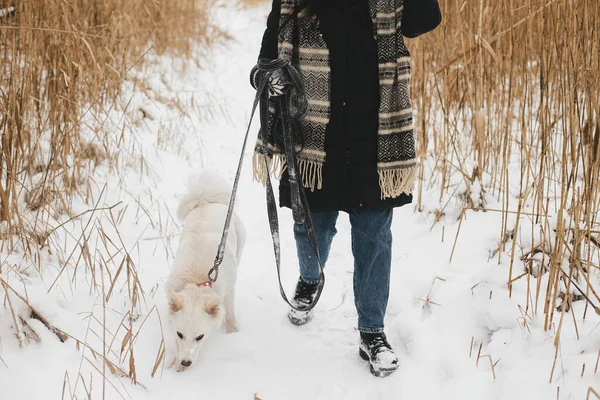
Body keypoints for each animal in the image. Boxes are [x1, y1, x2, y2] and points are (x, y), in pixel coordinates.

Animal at [165, 172, 245, 372]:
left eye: (200, 337)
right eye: (180, 334)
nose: (186, 362)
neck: (197, 282)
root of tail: (207, 200)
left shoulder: (228, 291)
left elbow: (230, 313)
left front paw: (232, 331)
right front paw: (175, 362)